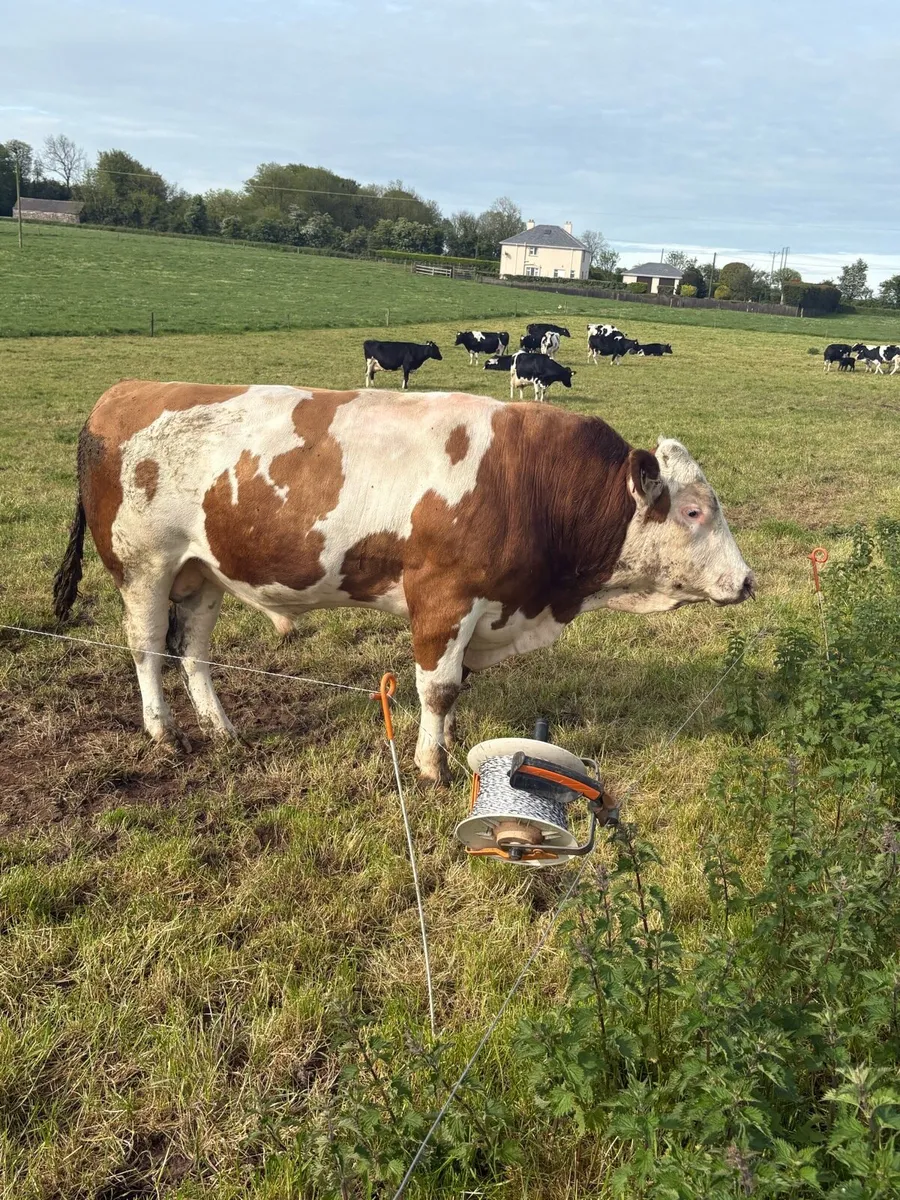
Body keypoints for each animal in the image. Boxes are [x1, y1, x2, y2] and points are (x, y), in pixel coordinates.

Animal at [53, 382, 754, 784]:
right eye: (695, 511)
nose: (747, 580)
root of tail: (122, 392)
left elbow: (457, 687)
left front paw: (447, 746)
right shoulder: (443, 599)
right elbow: (439, 688)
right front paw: (431, 766)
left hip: (202, 574)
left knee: (193, 651)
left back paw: (221, 728)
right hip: (145, 567)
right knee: (148, 649)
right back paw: (165, 733)